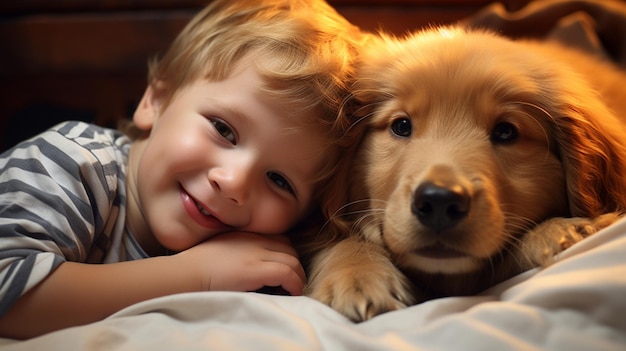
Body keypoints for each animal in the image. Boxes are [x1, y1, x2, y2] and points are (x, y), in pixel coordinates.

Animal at [304, 26, 624, 324]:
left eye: (506, 132)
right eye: (401, 126)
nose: (439, 202)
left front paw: (556, 231)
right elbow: (341, 236)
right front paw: (357, 275)